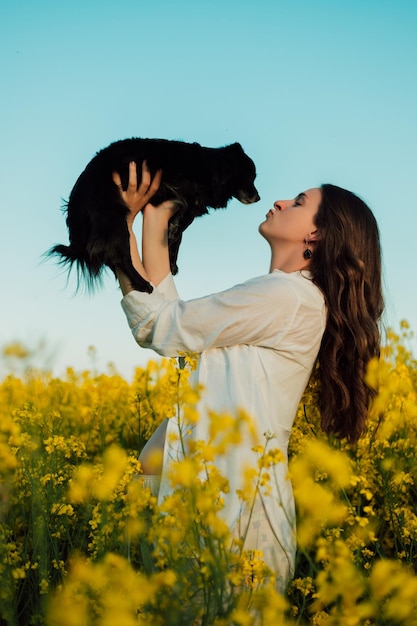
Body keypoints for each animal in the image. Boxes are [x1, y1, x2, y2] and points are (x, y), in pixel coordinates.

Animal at [47, 136, 258, 292]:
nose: (259, 198)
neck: (210, 169)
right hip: (114, 220)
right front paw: (172, 237)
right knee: (119, 255)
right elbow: (179, 227)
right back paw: (142, 284)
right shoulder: (182, 196)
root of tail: (76, 199)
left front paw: (171, 263)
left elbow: (179, 239)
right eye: (250, 177)